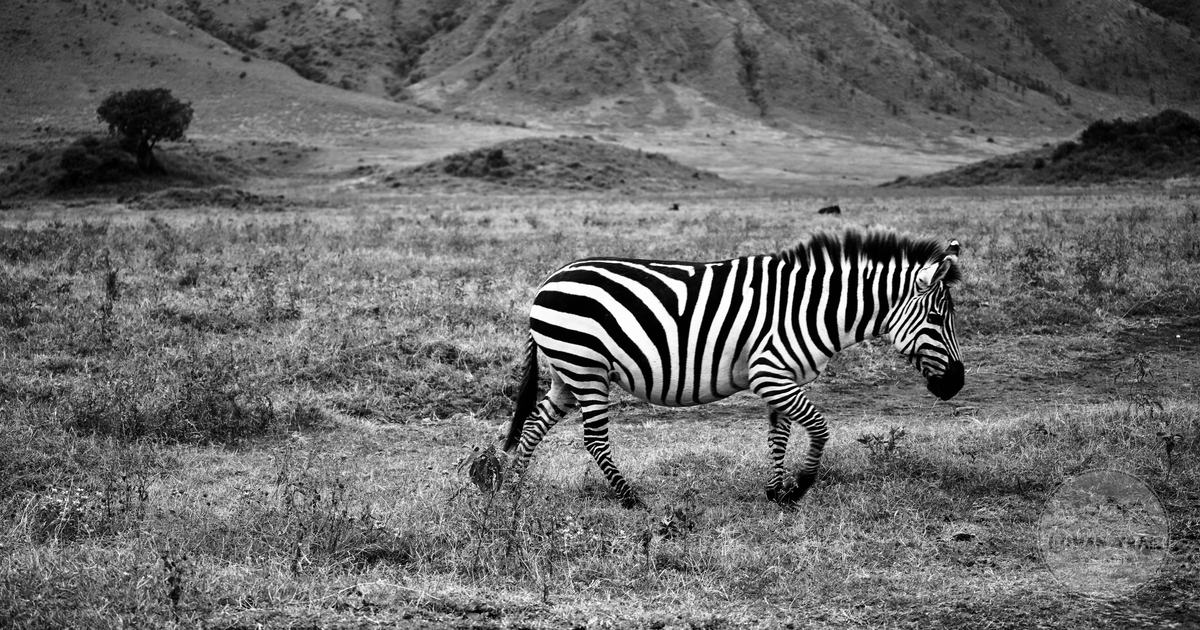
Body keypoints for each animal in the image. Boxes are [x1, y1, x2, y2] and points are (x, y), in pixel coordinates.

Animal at [502, 229, 963, 507]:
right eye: (937, 319)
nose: (956, 385)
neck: (812, 308)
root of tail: (548, 280)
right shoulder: (769, 373)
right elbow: (819, 427)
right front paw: (801, 486)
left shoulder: (783, 377)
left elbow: (779, 436)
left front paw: (776, 492)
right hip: (587, 368)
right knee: (594, 439)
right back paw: (631, 498)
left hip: (568, 371)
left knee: (534, 425)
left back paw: (512, 488)